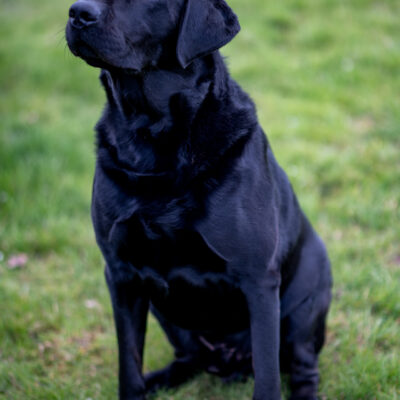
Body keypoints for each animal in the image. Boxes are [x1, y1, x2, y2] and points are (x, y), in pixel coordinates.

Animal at [67, 0, 332, 400]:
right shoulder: (121, 273)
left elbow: (268, 376)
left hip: (305, 307)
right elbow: (129, 363)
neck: (153, 142)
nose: (78, 13)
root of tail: (227, 362)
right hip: (167, 315)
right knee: (186, 359)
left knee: (303, 368)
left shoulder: (258, 278)